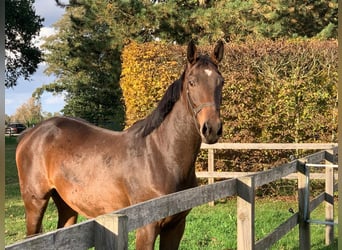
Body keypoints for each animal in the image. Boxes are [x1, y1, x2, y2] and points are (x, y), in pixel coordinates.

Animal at [15, 40, 224, 249]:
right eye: (192, 82)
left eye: (220, 82)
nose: (212, 128)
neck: (162, 156)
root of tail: (30, 133)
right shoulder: (147, 228)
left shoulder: (176, 225)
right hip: (35, 202)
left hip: (67, 204)